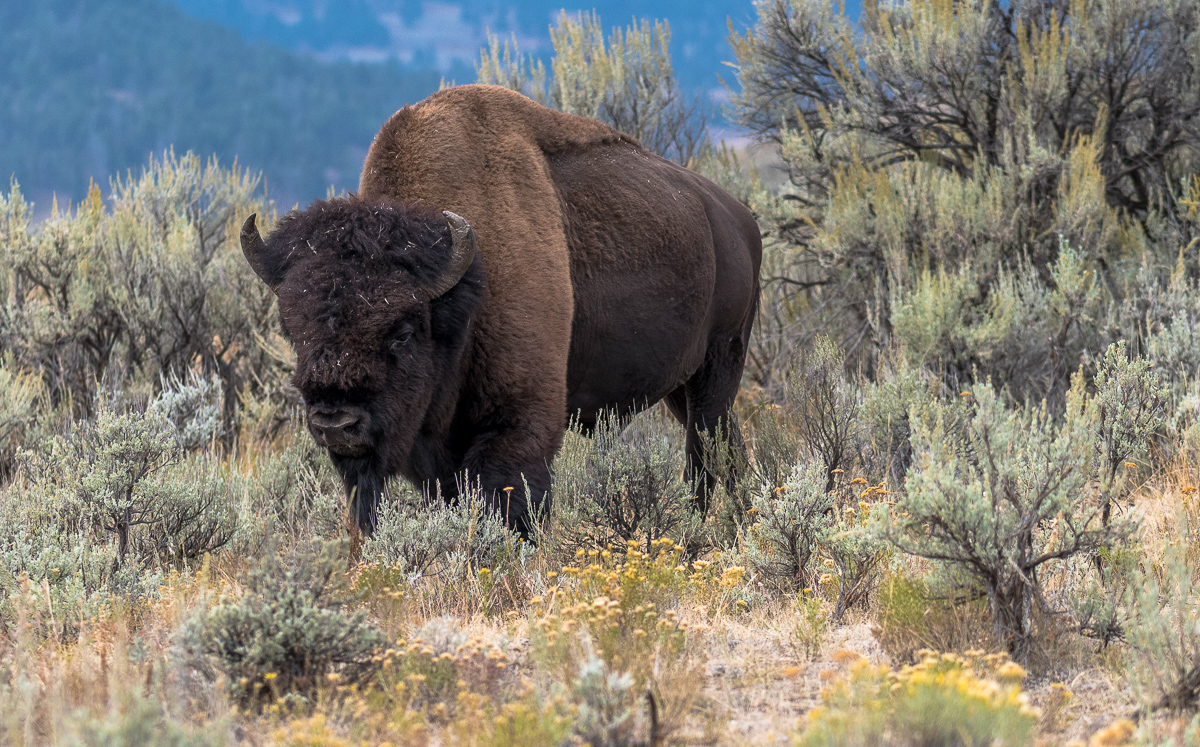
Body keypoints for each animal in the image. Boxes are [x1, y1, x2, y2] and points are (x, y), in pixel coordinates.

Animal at [241, 83, 758, 538]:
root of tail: (740, 217)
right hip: (681, 386)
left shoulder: (519, 419)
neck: (467, 286)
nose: (336, 423)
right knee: (729, 447)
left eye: (403, 331)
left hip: (719, 363)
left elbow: (509, 502)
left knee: (705, 454)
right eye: (293, 331)